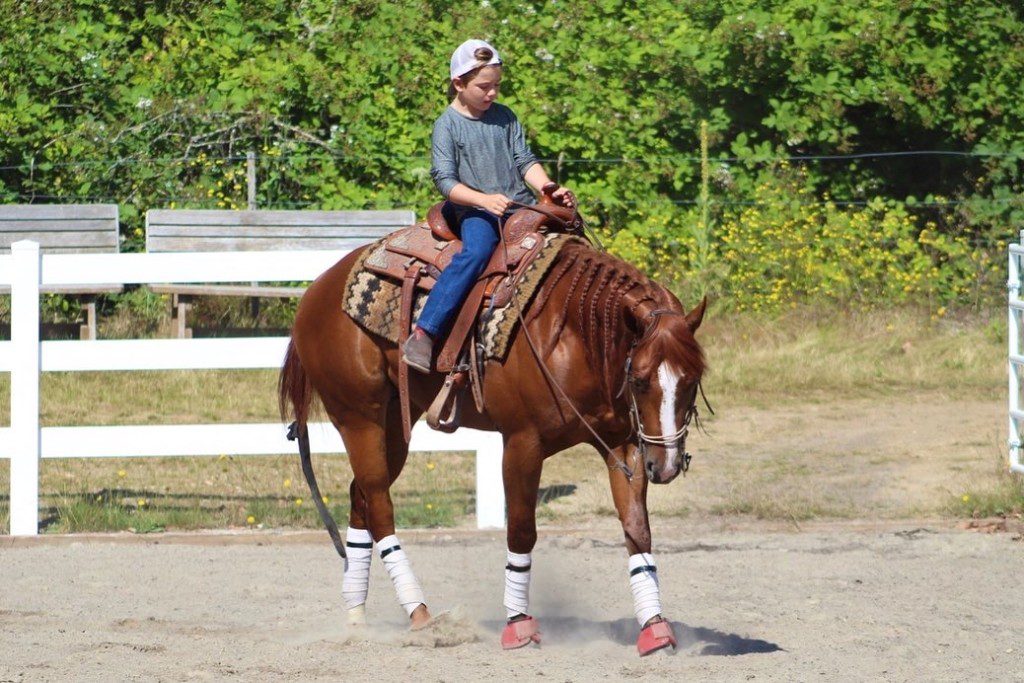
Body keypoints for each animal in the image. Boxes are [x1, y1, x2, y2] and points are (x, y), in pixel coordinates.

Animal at [280, 237, 712, 655]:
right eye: (639, 379)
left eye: (692, 380)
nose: (667, 465)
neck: (571, 335)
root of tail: (316, 291)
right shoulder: (522, 443)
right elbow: (521, 531)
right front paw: (518, 625)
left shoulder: (626, 447)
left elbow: (638, 531)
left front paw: (655, 628)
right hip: (359, 418)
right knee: (380, 507)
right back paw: (421, 616)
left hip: (392, 427)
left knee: (361, 498)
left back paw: (356, 619)